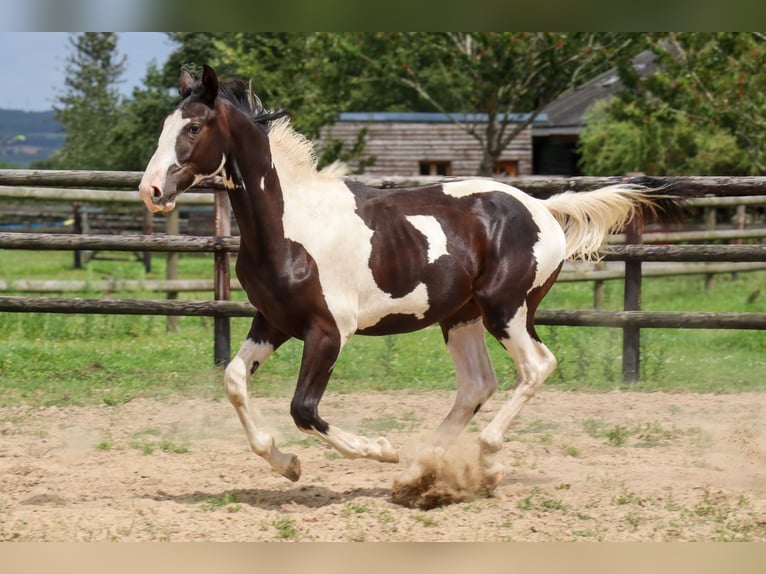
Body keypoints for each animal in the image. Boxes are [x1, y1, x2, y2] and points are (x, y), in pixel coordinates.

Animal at [138, 66, 684, 504]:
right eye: (164, 126)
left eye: (193, 126)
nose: (151, 190)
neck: (291, 224)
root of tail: (543, 208)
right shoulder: (273, 321)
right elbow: (234, 380)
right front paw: (287, 464)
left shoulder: (328, 331)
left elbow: (304, 408)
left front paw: (380, 449)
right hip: (461, 317)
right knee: (477, 384)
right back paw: (422, 470)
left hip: (506, 309)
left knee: (535, 367)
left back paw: (481, 462)